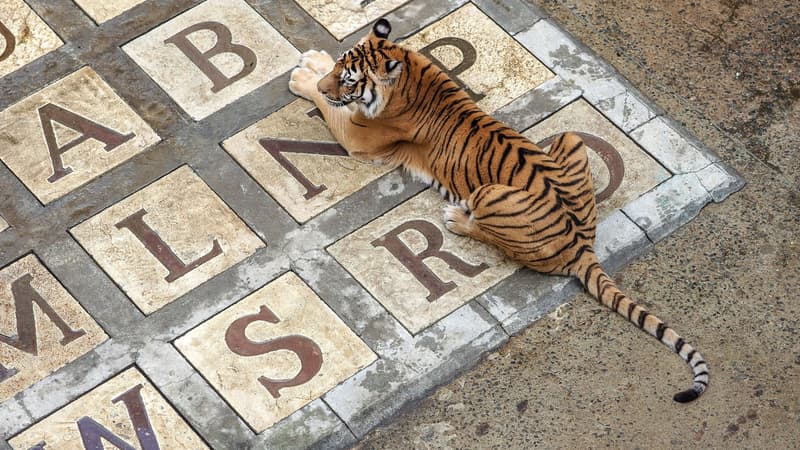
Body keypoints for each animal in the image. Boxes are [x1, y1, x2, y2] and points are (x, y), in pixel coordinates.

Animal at [288, 19, 708, 402]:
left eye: (350, 81)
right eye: (340, 68)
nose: (326, 84)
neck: (407, 67)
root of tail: (582, 244)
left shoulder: (358, 136)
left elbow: (329, 108)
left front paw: (302, 78)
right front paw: (314, 64)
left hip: (489, 193)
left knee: (495, 239)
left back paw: (457, 218)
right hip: (568, 138)